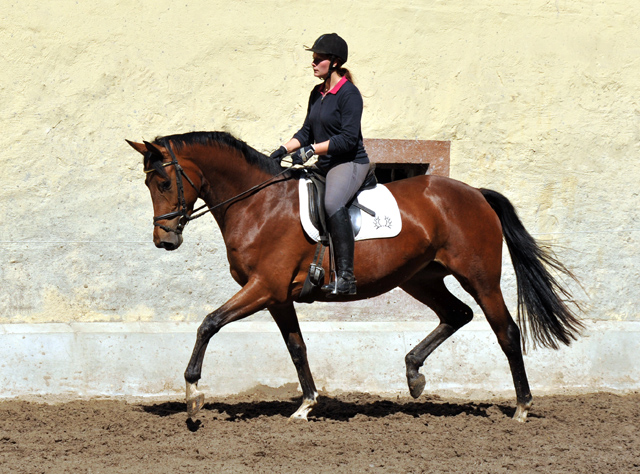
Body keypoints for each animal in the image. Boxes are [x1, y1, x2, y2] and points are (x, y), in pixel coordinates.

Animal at [127, 130, 584, 422]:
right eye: (147, 183)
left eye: (164, 181)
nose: (164, 240)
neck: (258, 205)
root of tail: (475, 193)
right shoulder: (278, 297)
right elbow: (296, 347)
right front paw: (306, 405)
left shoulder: (264, 288)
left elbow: (209, 323)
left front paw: (192, 397)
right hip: (420, 278)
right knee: (457, 315)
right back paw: (414, 375)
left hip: (480, 277)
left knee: (505, 330)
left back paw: (521, 407)